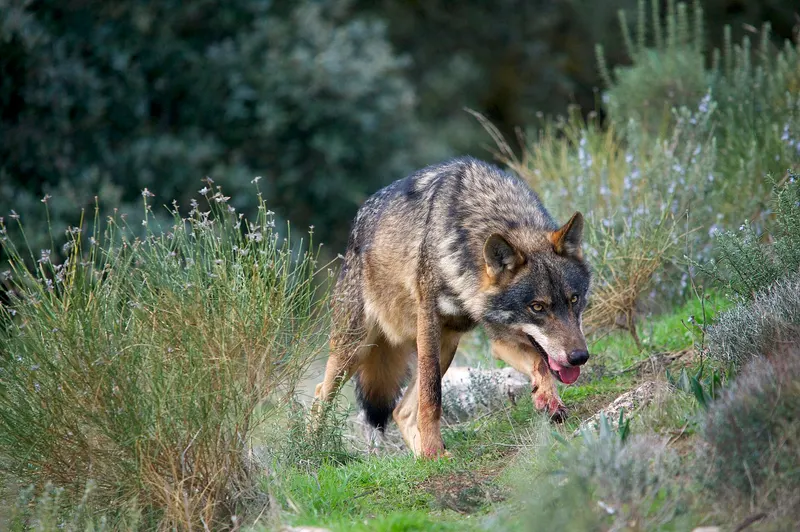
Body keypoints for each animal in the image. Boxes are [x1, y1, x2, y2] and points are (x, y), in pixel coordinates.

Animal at [313, 157, 591, 458]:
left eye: (574, 299)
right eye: (537, 307)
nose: (579, 357)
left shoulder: (500, 337)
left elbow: (540, 363)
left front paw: (548, 400)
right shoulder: (429, 323)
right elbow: (432, 396)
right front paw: (434, 447)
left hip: (446, 345)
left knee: (401, 411)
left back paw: (424, 458)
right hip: (356, 349)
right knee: (320, 395)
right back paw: (312, 450)